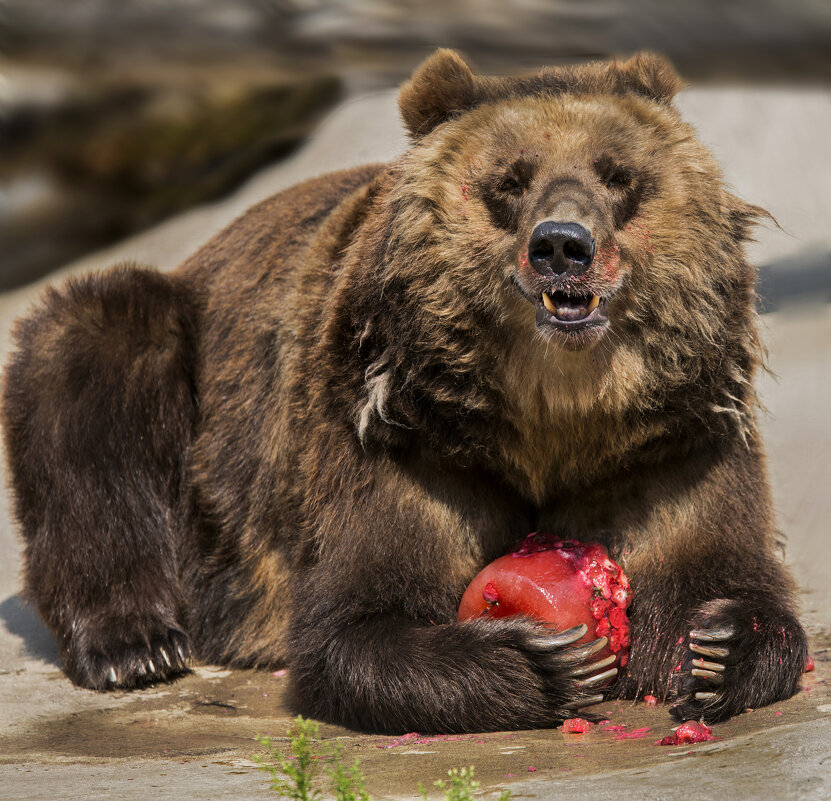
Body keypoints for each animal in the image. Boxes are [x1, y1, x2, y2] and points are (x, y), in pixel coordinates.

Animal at [0, 50, 808, 736]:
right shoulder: (405, 440)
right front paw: (547, 659)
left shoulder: (671, 444)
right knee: (93, 354)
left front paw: (718, 644)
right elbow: (359, 621)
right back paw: (133, 641)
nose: (561, 245)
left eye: (618, 175)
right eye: (510, 180)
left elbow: (713, 566)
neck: (556, 414)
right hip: (189, 375)